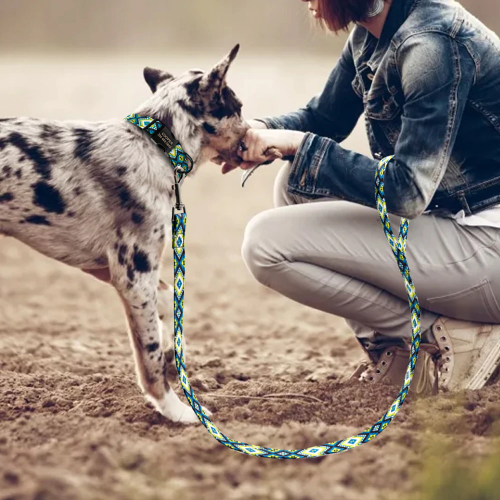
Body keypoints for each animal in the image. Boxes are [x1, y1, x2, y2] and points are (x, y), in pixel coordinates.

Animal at [0, 45, 249, 424]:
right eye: (239, 108)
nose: (256, 133)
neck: (156, 145)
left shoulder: (108, 269)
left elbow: (167, 308)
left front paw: (172, 351)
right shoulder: (133, 275)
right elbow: (149, 355)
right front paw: (177, 409)